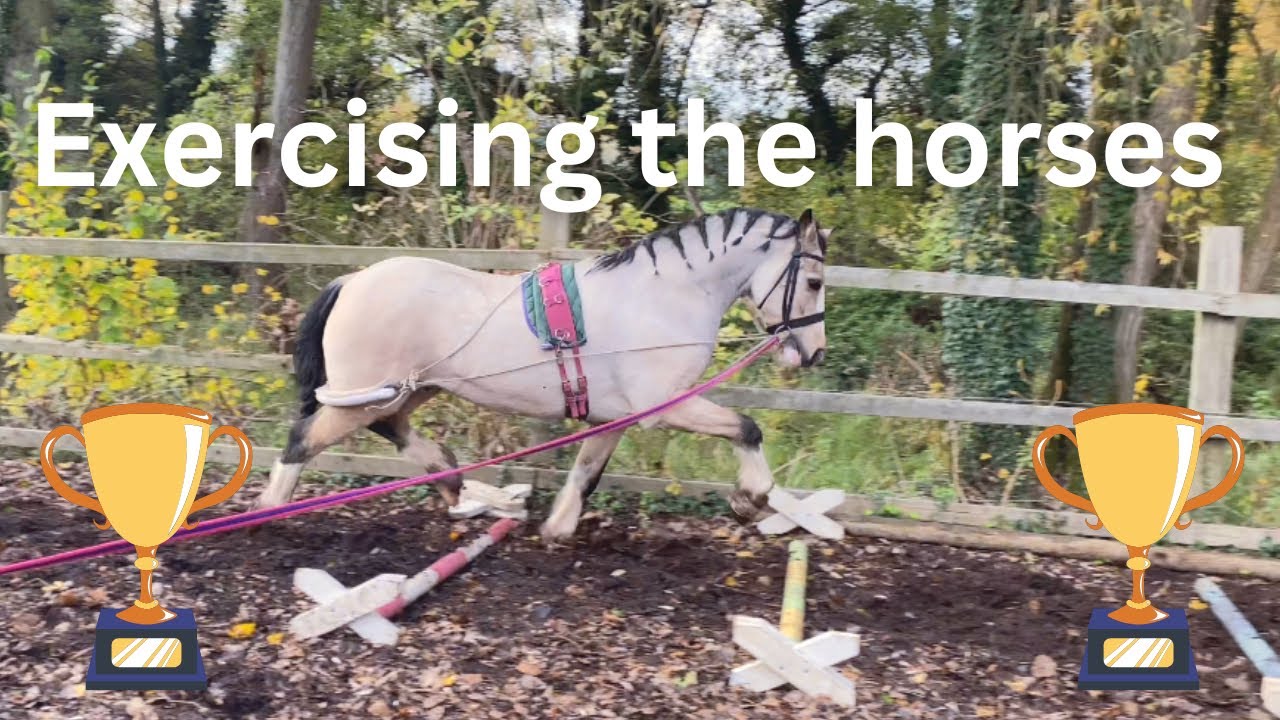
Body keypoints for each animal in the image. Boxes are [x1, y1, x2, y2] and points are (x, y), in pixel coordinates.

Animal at [255, 207, 829, 540]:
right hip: (372, 393)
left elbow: (586, 472)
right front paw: (749, 500)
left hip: (409, 389)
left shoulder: (614, 417)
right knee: (303, 440)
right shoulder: (662, 406)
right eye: (816, 281)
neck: (663, 298)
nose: (814, 352)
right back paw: (267, 511)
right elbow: (747, 428)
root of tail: (352, 281)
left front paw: (556, 528)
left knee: (388, 428)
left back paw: (450, 477)